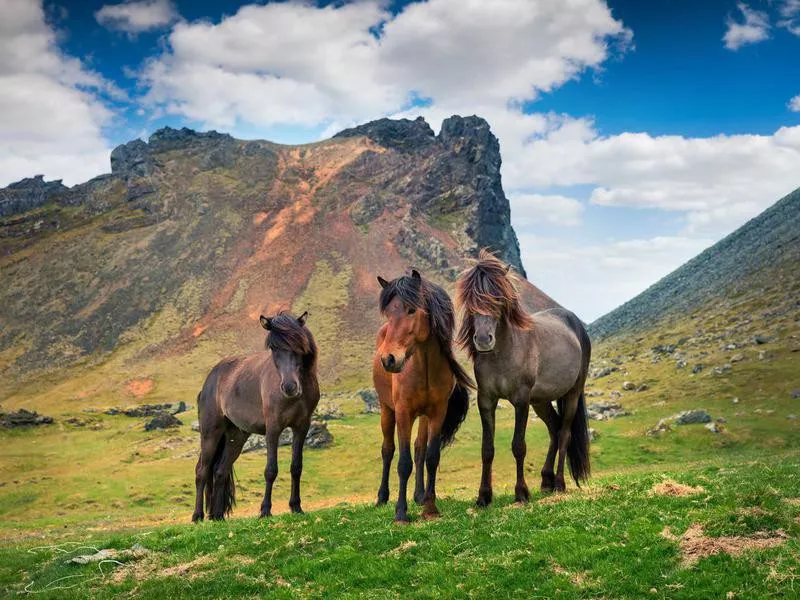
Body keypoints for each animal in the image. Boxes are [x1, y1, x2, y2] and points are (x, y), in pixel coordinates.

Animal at [193, 312, 318, 524]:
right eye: (273, 348)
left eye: (298, 344)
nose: (289, 387)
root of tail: (210, 380)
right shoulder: (273, 428)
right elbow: (271, 470)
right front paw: (265, 510)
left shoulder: (302, 426)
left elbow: (296, 467)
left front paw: (296, 507)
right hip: (211, 432)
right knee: (202, 470)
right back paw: (197, 516)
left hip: (236, 437)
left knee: (219, 471)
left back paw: (218, 516)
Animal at [372, 270, 472, 524]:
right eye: (389, 313)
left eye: (411, 310)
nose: (389, 359)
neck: (424, 366)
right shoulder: (403, 412)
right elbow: (403, 462)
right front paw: (400, 513)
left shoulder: (437, 412)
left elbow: (430, 456)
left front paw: (430, 507)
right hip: (387, 411)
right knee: (387, 450)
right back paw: (381, 498)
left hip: (423, 417)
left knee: (419, 449)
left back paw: (419, 496)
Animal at [456, 250, 592, 506]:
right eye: (470, 299)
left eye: (497, 298)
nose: (483, 340)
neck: (503, 353)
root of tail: (575, 323)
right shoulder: (486, 400)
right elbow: (487, 448)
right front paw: (483, 496)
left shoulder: (521, 400)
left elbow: (519, 446)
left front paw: (521, 492)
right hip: (540, 401)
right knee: (554, 429)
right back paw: (546, 480)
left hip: (572, 394)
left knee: (565, 433)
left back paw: (559, 483)